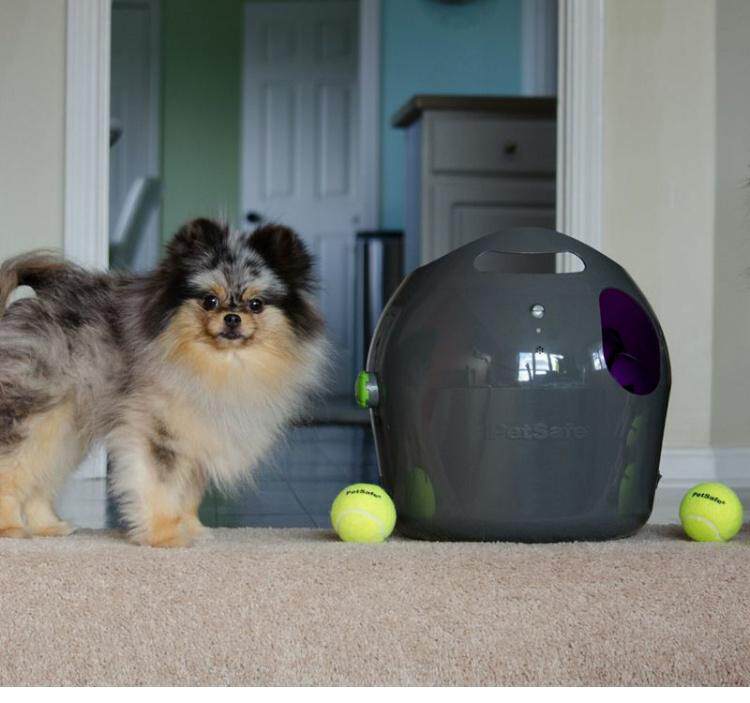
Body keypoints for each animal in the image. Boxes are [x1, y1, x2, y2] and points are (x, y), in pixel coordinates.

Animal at [0, 219, 327, 547]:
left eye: (256, 304)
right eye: (209, 301)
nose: (232, 317)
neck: (219, 364)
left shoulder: (197, 435)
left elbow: (189, 494)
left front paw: (192, 529)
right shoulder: (159, 432)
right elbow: (160, 488)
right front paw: (166, 536)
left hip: (65, 432)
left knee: (40, 477)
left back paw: (48, 527)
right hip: (36, 418)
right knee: (12, 470)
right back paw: (11, 529)